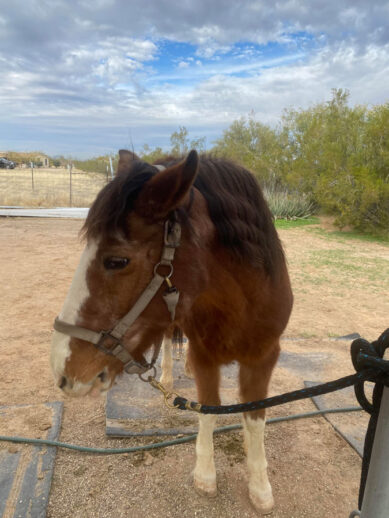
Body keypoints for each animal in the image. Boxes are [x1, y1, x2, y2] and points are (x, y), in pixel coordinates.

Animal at [50, 149, 292, 516]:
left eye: (117, 261)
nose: (64, 371)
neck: (241, 303)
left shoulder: (264, 357)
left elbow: (254, 416)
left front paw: (260, 487)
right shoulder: (205, 355)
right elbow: (208, 407)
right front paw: (205, 475)